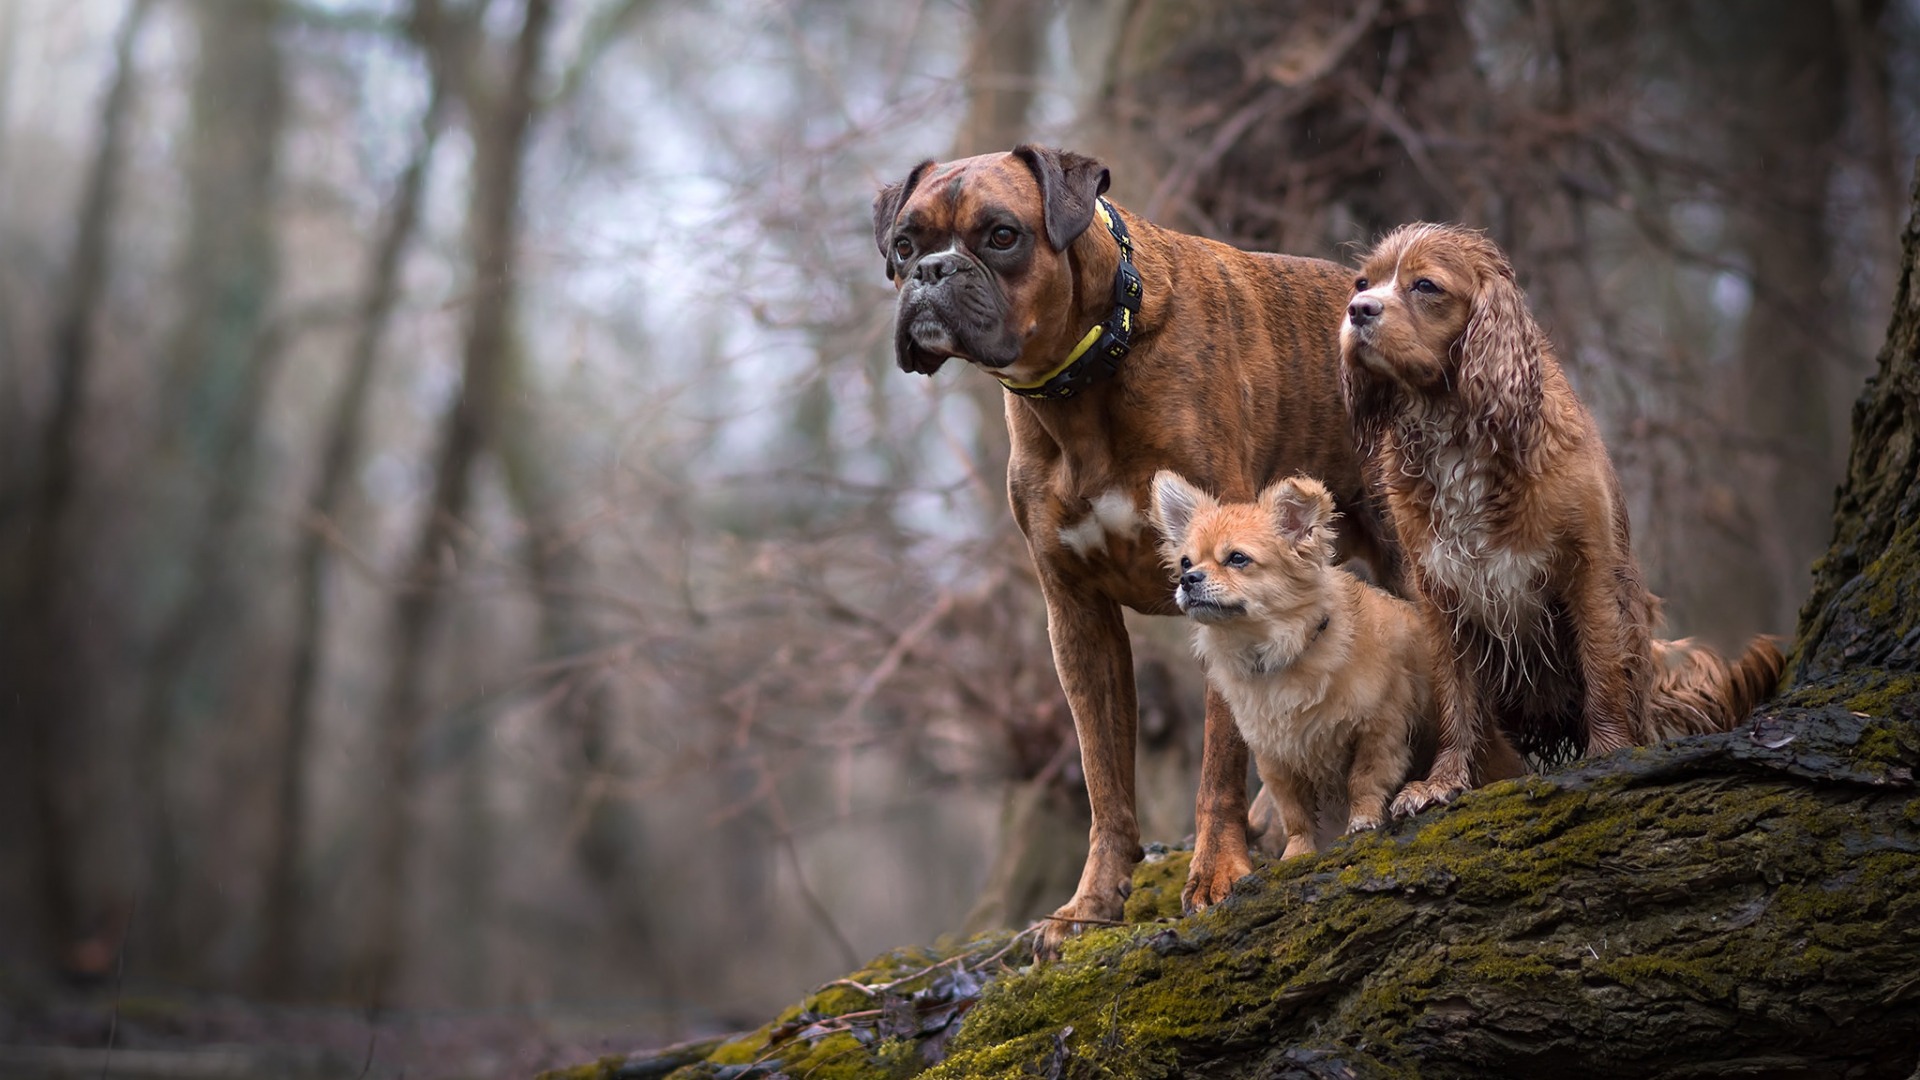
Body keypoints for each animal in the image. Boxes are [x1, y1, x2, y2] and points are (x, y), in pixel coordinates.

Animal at [875, 147, 1397, 945]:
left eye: (1001, 235)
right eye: (904, 244)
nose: (932, 270)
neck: (1082, 382)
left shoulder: (1222, 598)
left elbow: (1218, 756)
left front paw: (1216, 871)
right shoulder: (1078, 619)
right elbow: (1104, 777)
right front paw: (1093, 902)